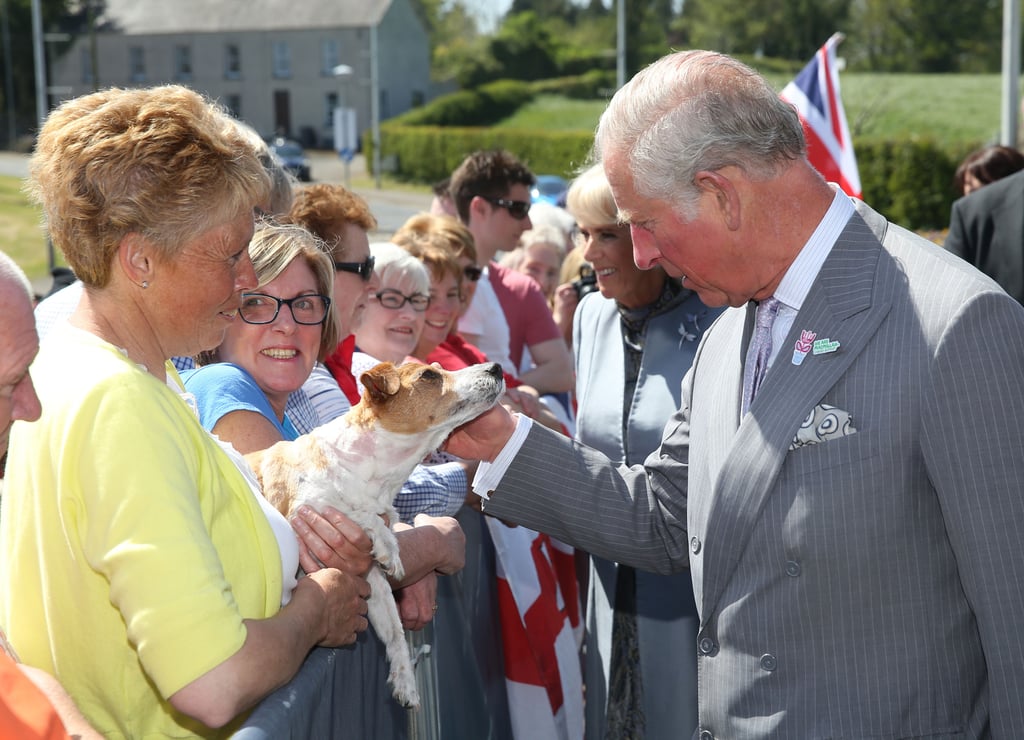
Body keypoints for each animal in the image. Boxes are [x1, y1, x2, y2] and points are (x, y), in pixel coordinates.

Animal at [247, 362, 503, 708]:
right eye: (429, 375)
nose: (496, 367)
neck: (368, 473)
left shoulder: (373, 581)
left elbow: (395, 630)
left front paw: (405, 681)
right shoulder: (303, 509)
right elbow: (356, 510)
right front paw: (388, 543)